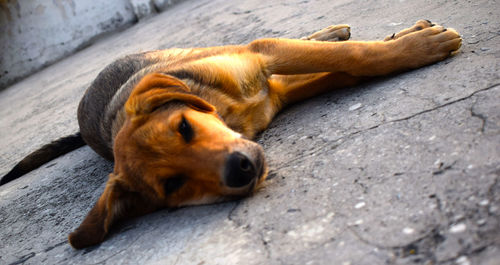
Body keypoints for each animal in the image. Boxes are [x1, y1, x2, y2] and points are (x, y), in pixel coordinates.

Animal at [0, 19, 462, 248]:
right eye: (173, 185)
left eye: (184, 126)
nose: (240, 170)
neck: (228, 112)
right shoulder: (277, 89)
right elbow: (346, 68)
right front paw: (409, 45)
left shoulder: (261, 57)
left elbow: (354, 55)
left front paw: (419, 46)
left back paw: (347, 31)